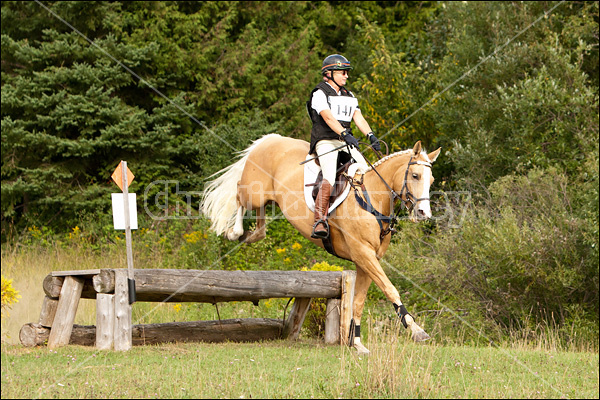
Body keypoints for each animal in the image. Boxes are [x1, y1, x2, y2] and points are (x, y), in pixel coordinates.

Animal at [202, 134, 440, 354]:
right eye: (415, 175)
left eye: (431, 181)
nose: (423, 213)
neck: (371, 199)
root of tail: (270, 139)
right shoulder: (363, 254)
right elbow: (390, 289)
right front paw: (417, 330)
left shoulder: (366, 260)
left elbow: (359, 301)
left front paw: (357, 343)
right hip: (255, 193)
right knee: (239, 196)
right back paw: (233, 232)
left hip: (266, 200)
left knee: (260, 228)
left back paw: (246, 236)